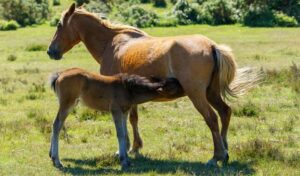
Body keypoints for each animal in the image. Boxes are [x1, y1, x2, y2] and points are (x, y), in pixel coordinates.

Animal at [47, 3, 260, 167]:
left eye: (59, 24)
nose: (51, 51)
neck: (113, 43)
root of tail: (211, 46)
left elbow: (129, 121)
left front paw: (129, 149)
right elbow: (133, 119)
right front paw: (134, 148)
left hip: (197, 95)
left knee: (212, 119)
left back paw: (215, 157)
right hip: (211, 93)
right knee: (225, 113)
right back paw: (225, 152)